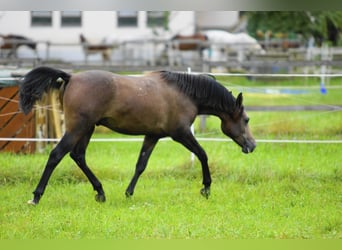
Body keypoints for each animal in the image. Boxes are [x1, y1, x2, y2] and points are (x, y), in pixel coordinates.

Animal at [18, 66, 254, 205]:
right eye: (246, 120)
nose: (252, 146)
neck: (183, 93)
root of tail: (71, 76)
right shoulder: (181, 133)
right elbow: (203, 154)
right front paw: (206, 188)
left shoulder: (152, 136)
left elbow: (141, 165)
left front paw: (128, 192)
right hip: (78, 128)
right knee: (56, 155)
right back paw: (36, 197)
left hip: (87, 129)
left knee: (78, 156)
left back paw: (100, 192)